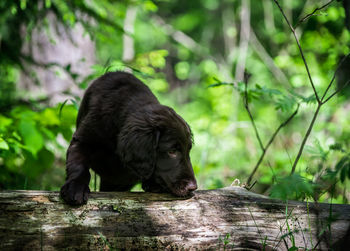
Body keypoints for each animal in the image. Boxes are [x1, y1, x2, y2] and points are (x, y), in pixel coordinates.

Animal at [60, 71, 197, 205]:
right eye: (172, 151)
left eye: (188, 150)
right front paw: (76, 188)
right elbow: (78, 164)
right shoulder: (84, 139)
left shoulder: (122, 180)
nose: (193, 188)